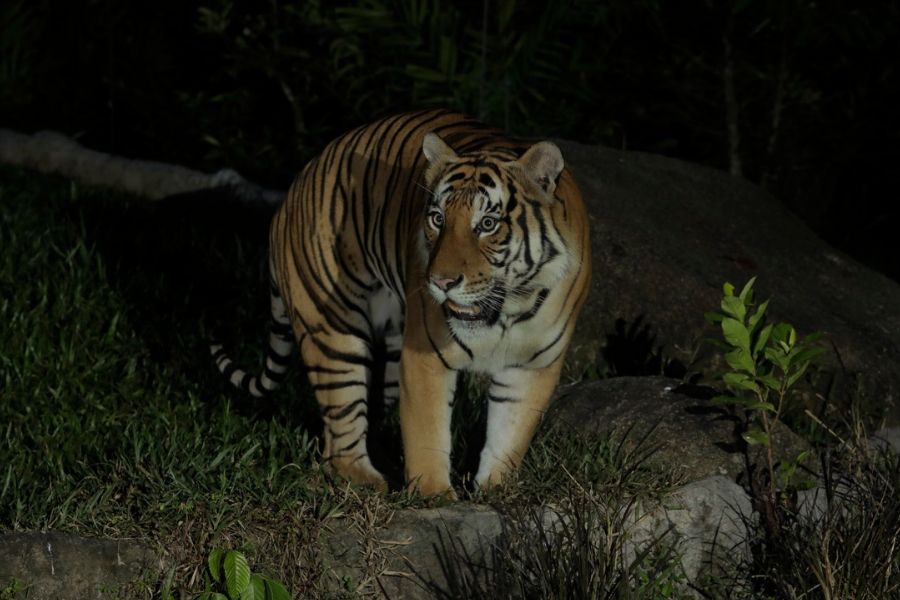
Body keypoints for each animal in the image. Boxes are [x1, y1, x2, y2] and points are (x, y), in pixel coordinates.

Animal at [211, 108, 591, 498]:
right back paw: (373, 483)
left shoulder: (532, 366)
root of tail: (293, 187)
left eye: (487, 224)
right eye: (438, 219)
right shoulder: (426, 355)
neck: (507, 310)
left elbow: (509, 436)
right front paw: (434, 496)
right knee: (339, 437)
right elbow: (428, 432)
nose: (441, 282)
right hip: (331, 330)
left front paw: (495, 489)